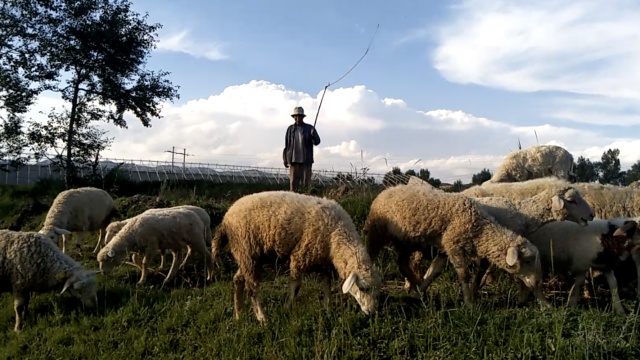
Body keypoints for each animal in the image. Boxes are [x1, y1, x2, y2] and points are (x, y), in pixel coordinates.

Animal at [210, 191, 382, 324]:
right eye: (363, 288)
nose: (372, 312)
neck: (336, 234)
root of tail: (226, 218)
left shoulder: (324, 262)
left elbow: (326, 286)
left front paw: (327, 309)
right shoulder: (300, 256)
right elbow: (296, 286)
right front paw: (287, 308)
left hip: (247, 255)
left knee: (237, 280)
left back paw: (238, 314)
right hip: (247, 249)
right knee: (252, 287)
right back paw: (262, 318)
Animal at [362, 184, 548, 308]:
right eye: (527, 261)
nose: (538, 282)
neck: (479, 228)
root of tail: (388, 190)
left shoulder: (446, 246)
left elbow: (435, 270)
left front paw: (420, 291)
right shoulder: (454, 245)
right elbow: (464, 275)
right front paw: (469, 303)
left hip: (405, 241)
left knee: (401, 262)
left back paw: (415, 282)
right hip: (378, 233)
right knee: (371, 254)